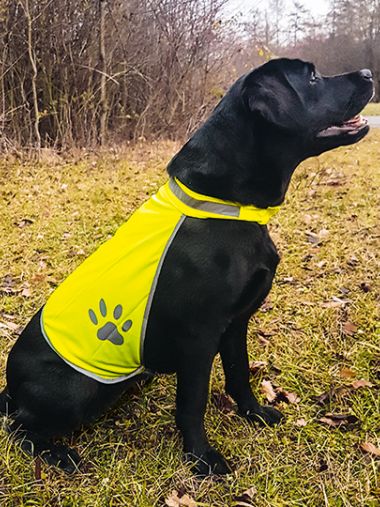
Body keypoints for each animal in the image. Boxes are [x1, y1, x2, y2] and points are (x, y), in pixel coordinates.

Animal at [0, 58, 374, 476]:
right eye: (311, 77)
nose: (367, 73)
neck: (227, 205)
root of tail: (9, 387)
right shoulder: (200, 335)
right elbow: (192, 403)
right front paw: (201, 458)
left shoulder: (236, 323)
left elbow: (240, 374)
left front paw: (254, 413)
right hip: (74, 391)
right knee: (18, 427)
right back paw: (58, 454)